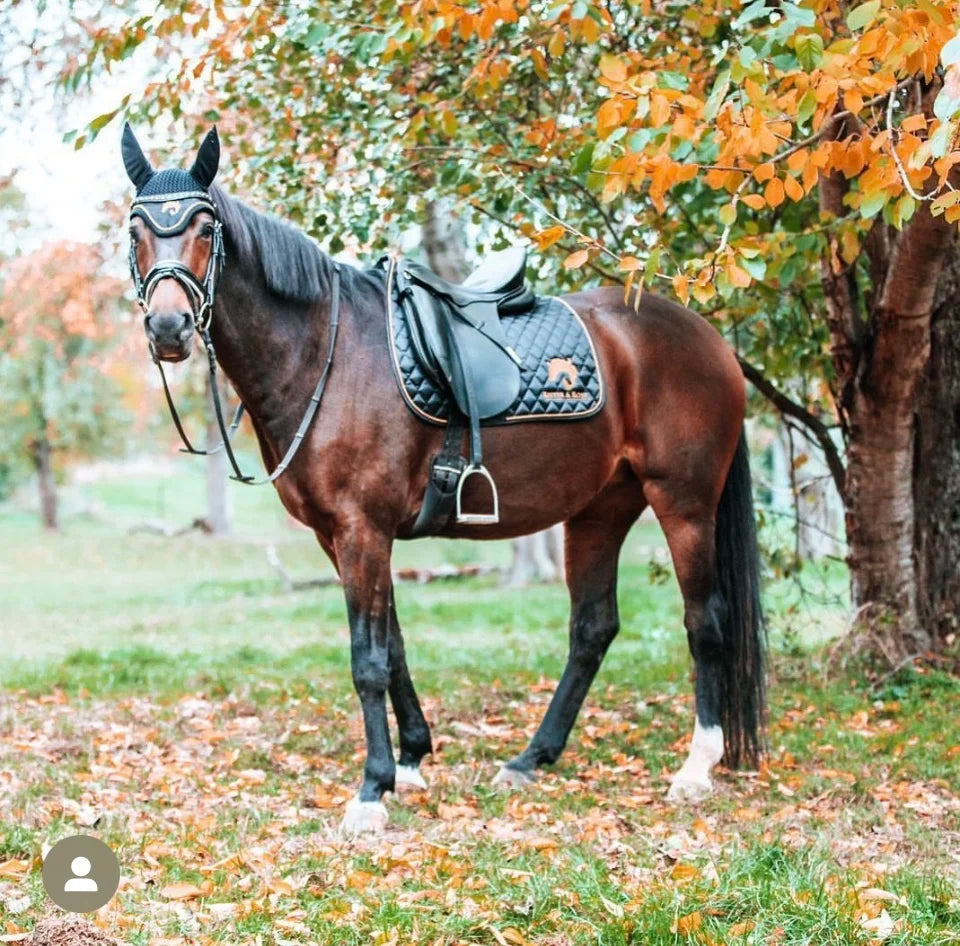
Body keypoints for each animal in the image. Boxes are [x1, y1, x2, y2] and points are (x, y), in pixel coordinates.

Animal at [121, 124, 764, 834]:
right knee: (593, 629)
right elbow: (394, 645)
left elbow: (368, 659)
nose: (169, 327)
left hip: (684, 504)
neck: (325, 352)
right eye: (135, 230)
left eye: (205, 227)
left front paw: (371, 791)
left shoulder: (362, 529)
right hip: (601, 509)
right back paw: (532, 758)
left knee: (705, 620)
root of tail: (709, 339)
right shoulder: (340, 537)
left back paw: (696, 767)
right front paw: (409, 761)